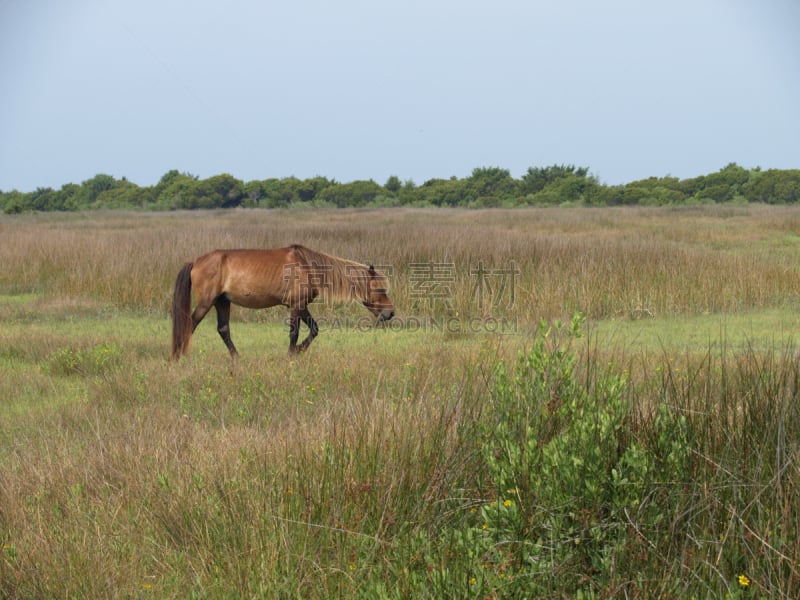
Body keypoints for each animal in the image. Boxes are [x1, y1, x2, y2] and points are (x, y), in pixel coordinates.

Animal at [171, 245, 394, 358]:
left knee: (223, 329)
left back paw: (237, 358)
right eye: (379, 289)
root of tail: (196, 262)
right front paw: (291, 355)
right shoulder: (296, 306)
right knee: (190, 324)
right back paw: (179, 356)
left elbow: (314, 329)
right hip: (206, 302)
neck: (308, 267)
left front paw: (299, 351)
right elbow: (294, 332)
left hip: (222, 302)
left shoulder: (301, 306)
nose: (390, 313)